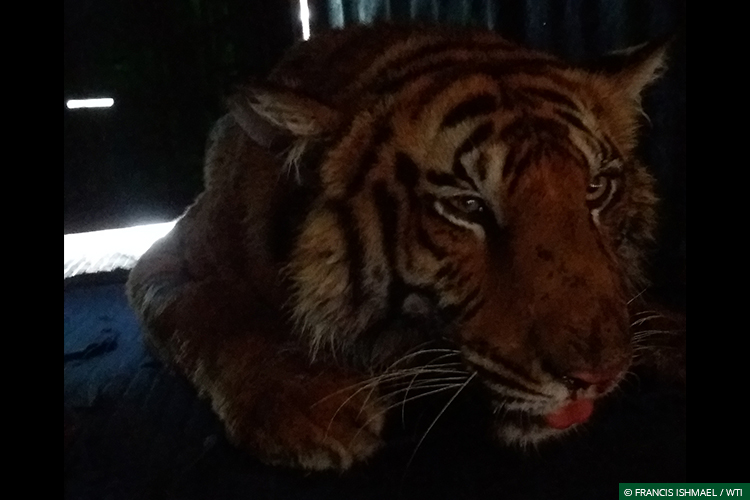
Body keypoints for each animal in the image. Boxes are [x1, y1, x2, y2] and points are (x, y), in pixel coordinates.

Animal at [126, 23, 671, 471]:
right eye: (468, 206)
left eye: (596, 189)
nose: (599, 376)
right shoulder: (165, 255)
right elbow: (208, 310)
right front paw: (309, 401)